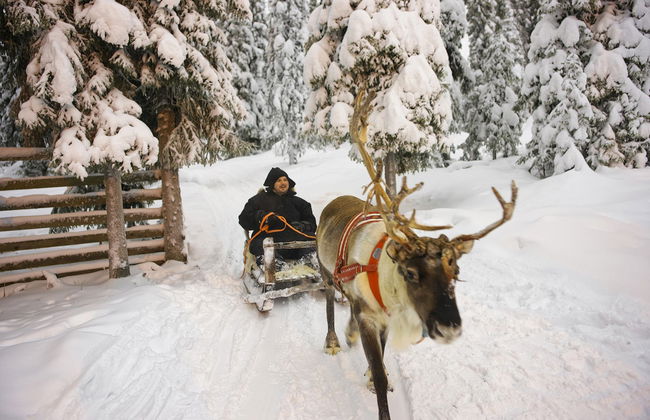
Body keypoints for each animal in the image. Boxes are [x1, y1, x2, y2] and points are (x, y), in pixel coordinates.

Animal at [315, 90, 518, 420]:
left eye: (456, 273)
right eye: (411, 272)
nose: (449, 328)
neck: (389, 289)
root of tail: (334, 201)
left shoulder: (381, 319)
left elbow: (380, 359)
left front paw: (367, 370)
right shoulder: (369, 315)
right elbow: (380, 375)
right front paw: (375, 382)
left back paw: (348, 334)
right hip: (325, 273)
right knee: (331, 303)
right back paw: (332, 341)